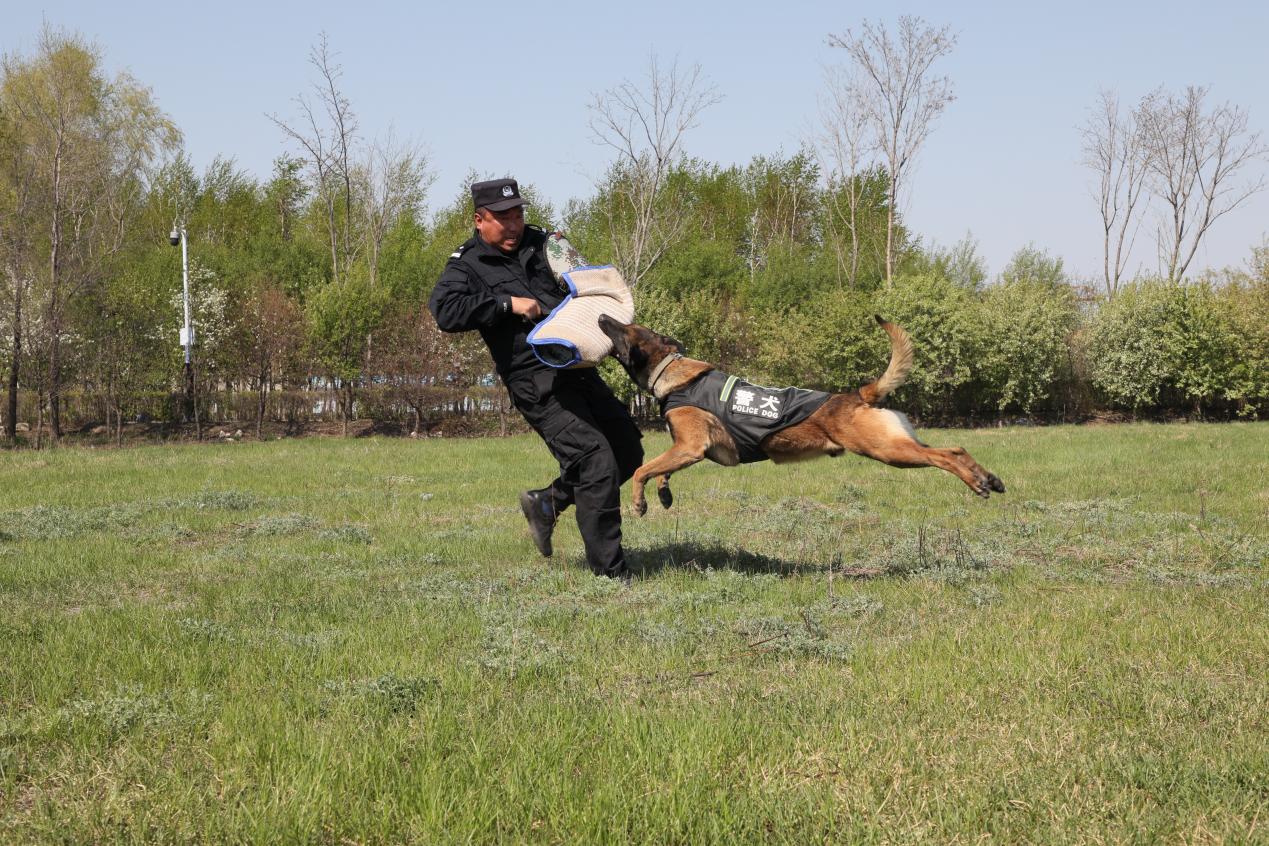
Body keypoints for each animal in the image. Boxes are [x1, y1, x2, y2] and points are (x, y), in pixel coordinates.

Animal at [598, 314, 1005, 517]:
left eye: (626, 329)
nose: (602, 315)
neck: (672, 371)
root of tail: (857, 395)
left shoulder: (690, 446)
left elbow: (643, 469)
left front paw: (639, 502)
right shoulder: (687, 449)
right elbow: (661, 470)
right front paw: (664, 494)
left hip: (889, 451)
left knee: (945, 456)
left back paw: (977, 483)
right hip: (900, 441)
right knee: (956, 449)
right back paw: (989, 478)